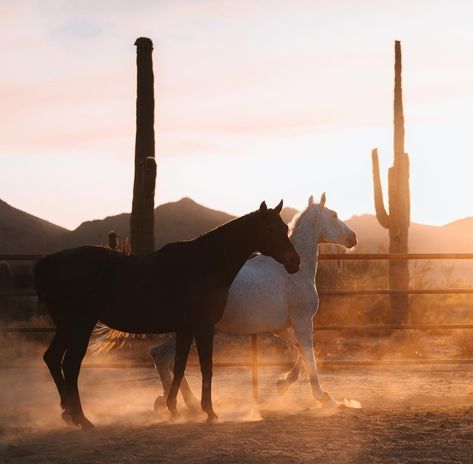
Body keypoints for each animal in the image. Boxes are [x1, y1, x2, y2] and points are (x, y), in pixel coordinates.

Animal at [35, 200, 298, 428]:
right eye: (271, 228)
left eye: (285, 228)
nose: (295, 262)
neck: (203, 265)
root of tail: (47, 262)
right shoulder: (203, 327)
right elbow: (206, 367)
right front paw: (209, 411)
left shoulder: (186, 328)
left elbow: (180, 365)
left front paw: (174, 408)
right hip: (81, 325)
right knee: (70, 365)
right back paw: (82, 419)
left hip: (67, 327)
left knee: (53, 358)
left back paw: (69, 413)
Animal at [149, 193, 356, 410]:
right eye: (334, 215)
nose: (354, 237)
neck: (293, 273)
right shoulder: (302, 320)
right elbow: (309, 355)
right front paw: (324, 397)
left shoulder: (281, 327)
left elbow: (301, 352)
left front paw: (283, 384)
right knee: (163, 357)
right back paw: (180, 403)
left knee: (162, 357)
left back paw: (179, 402)